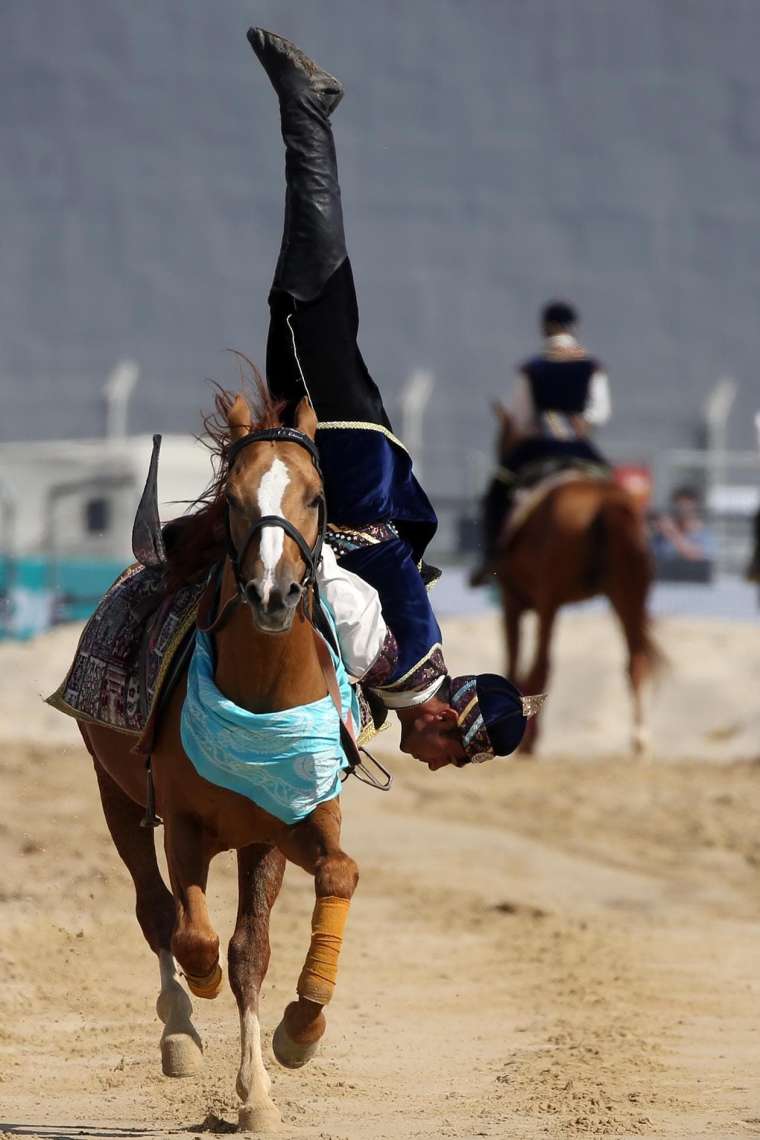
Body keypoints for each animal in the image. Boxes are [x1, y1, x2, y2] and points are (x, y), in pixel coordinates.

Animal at [77, 389, 360, 1130]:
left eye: (316, 495)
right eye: (231, 497)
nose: (273, 593)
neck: (258, 701)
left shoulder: (290, 820)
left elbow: (300, 907)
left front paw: (290, 1044)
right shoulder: (184, 824)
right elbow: (194, 936)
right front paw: (200, 997)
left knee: (237, 941)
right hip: (115, 791)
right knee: (154, 909)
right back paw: (179, 1029)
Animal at [489, 405, 656, 752]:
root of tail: (604, 502)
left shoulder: (513, 599)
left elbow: (514, 663)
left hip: (549, 600)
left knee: (541, 666)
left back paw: (528, 744)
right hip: (629, 594)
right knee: (637, 661)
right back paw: (640, 740)